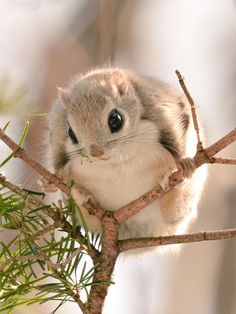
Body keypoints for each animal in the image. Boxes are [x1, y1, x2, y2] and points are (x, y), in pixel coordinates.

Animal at [47, 68, 206, 240]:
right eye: (71, 133)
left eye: (115, 119)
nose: (97, 152)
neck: (115, 161)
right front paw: (50, 182)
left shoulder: (160, 108)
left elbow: (176, 138)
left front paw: (183, 163)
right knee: (90, 220)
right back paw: (81, 195)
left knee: (174, 213)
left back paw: (175, 186)